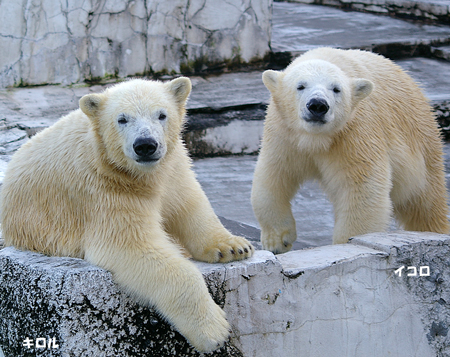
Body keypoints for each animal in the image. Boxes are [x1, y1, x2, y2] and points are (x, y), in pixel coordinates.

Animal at [0, 77, 253, 350]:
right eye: (122, 119)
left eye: (161, 115)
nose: (145, 145)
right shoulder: (103, 190)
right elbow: (131, 246)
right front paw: (214, 330)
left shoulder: (172, 166)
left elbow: (189, 204)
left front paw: (234, 247)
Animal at [251, 48, 448, 253]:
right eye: (301, 86)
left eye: (336, 89)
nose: (318, 105)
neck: (316, 138)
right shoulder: (284, 133)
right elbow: (274, 175)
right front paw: (277, 241)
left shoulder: (354, 132)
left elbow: (363, 186)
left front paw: (345, 243)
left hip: (422, 144)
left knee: (426, 203)